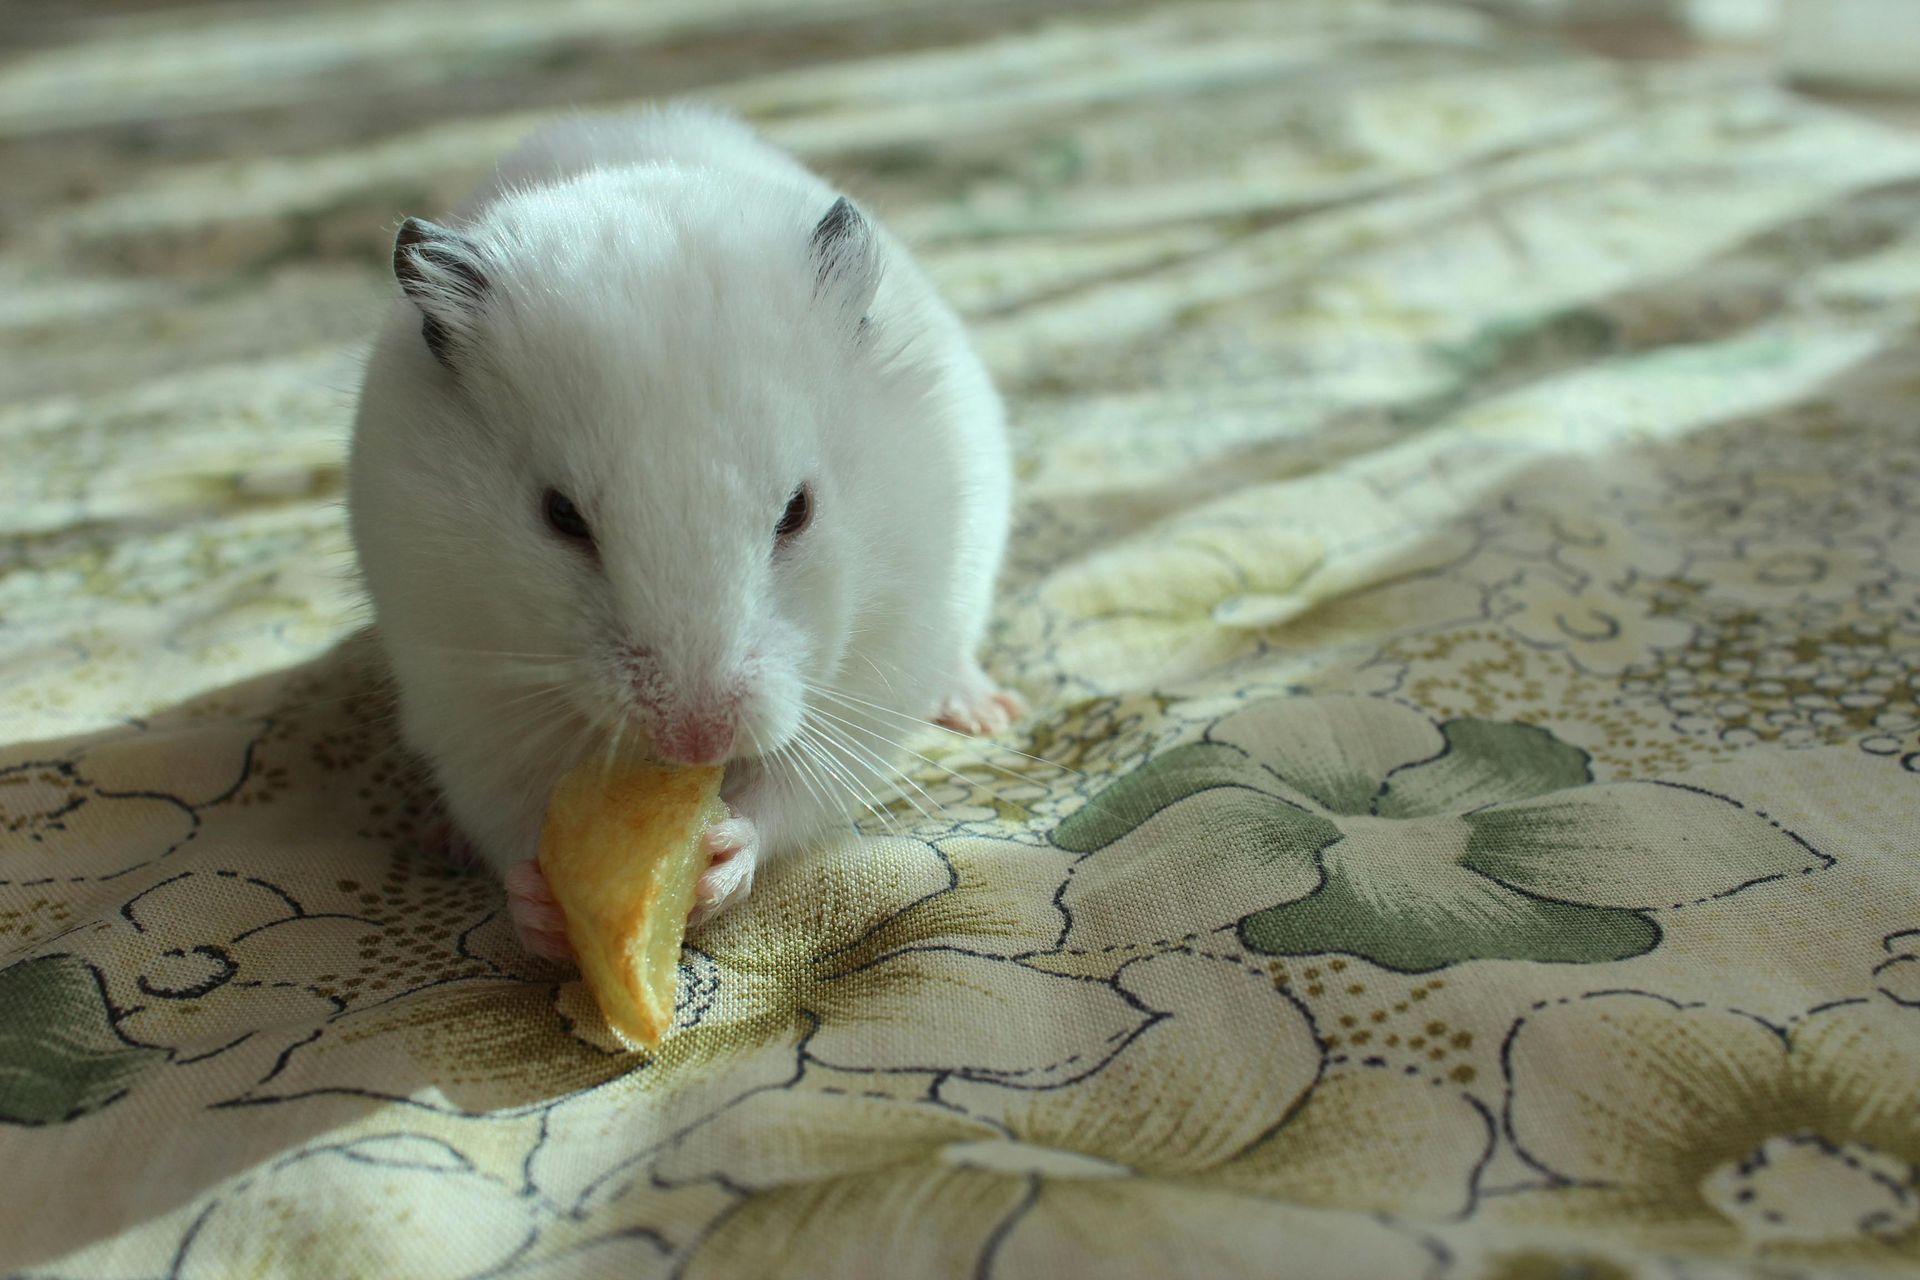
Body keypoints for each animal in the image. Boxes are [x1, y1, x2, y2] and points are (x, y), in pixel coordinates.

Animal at [345, 103, 1018, 959]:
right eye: (561, 516)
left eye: (798, 510)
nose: (696, 741)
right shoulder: (461, 693)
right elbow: (509, 815)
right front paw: (541, 908)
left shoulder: (880, 671)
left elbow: (796, 791)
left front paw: (721, 858)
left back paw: (985, 710)